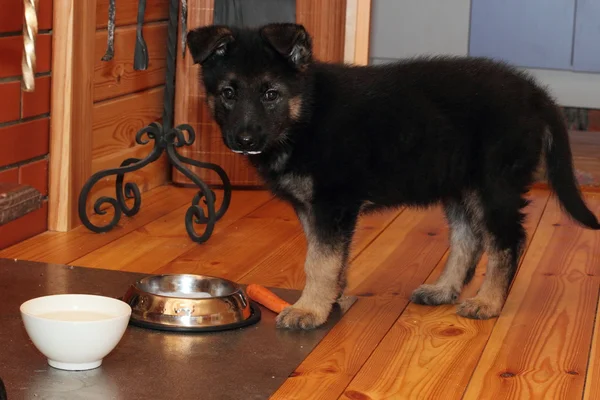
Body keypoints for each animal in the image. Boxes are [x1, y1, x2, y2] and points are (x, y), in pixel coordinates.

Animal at [186, 21, 600, 330]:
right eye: (228, 93)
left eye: (271, 94)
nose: (244, 140)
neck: (306, 114)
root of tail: (536, 93)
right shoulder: (313, 210)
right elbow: (329, 258)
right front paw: (330, 300)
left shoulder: (331, 206)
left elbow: (319, 262)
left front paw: (310, 309)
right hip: (459, 187)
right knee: (468, 240)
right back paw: (444, 289)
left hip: (494, 187)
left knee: (506, 242)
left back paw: (488, 302)